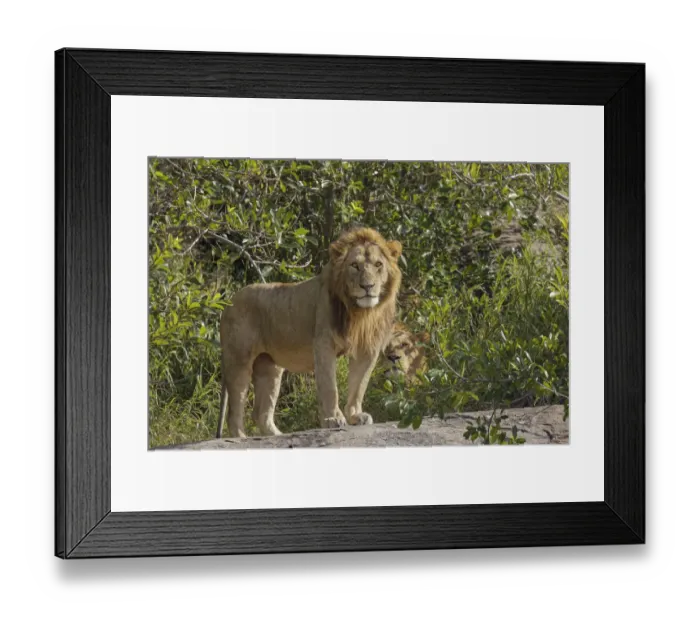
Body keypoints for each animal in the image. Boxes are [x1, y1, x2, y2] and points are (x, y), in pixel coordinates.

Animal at [216, 226, 403, 439]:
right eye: (355, 265)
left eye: (378, 264)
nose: (368, 287)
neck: (360, 313)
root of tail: (227, 304)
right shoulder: (324, 344)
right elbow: (330, 386)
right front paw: (333, 419)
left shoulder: (367, 349)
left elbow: (359, 385)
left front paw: (355, 416)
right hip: (239, 360)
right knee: (234, 410)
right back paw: (241, 438)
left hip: (269, 368)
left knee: (260, 413)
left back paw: (277, 435)